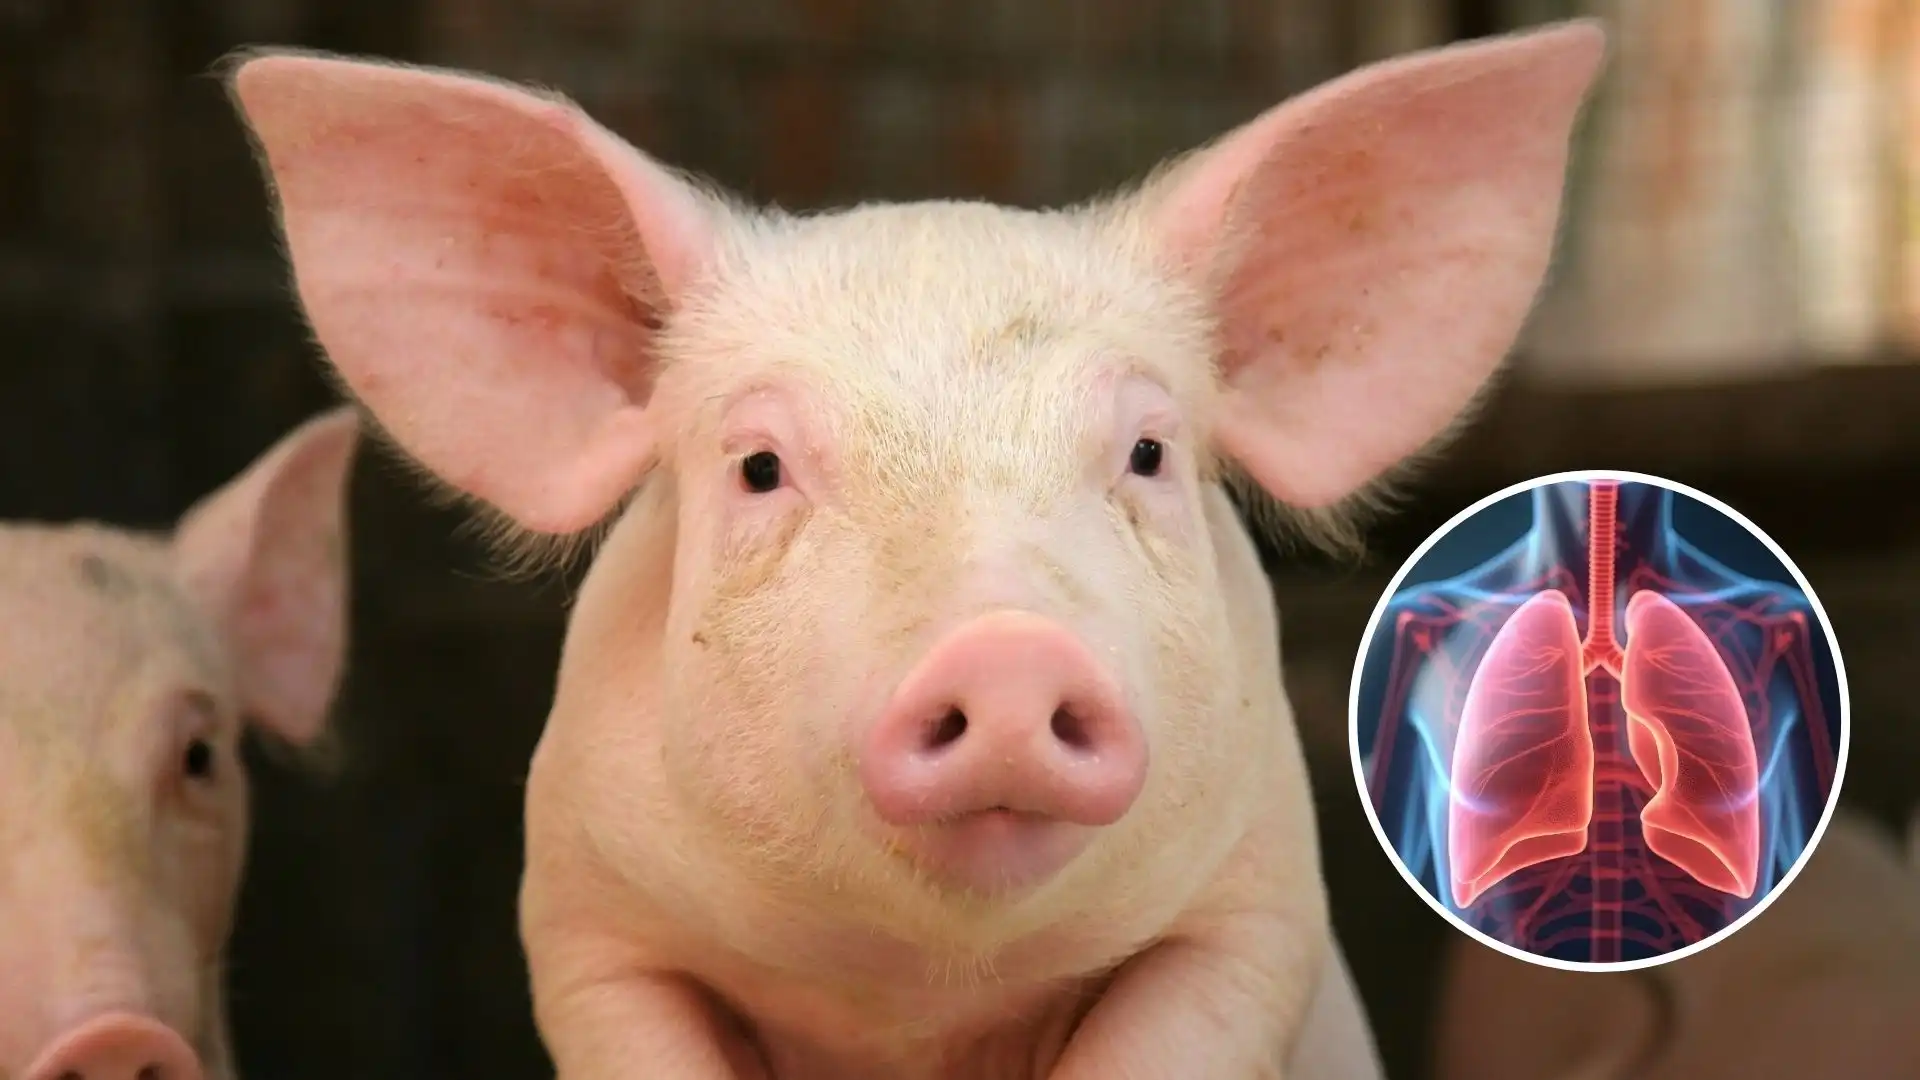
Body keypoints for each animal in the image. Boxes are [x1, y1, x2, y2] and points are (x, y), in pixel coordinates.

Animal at [224, 20, 1606, 1080]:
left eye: (1147, 453)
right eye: (760, 466)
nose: (1004, 654)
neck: (921, 1000)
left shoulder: (1255, 906)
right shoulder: (585, 920)